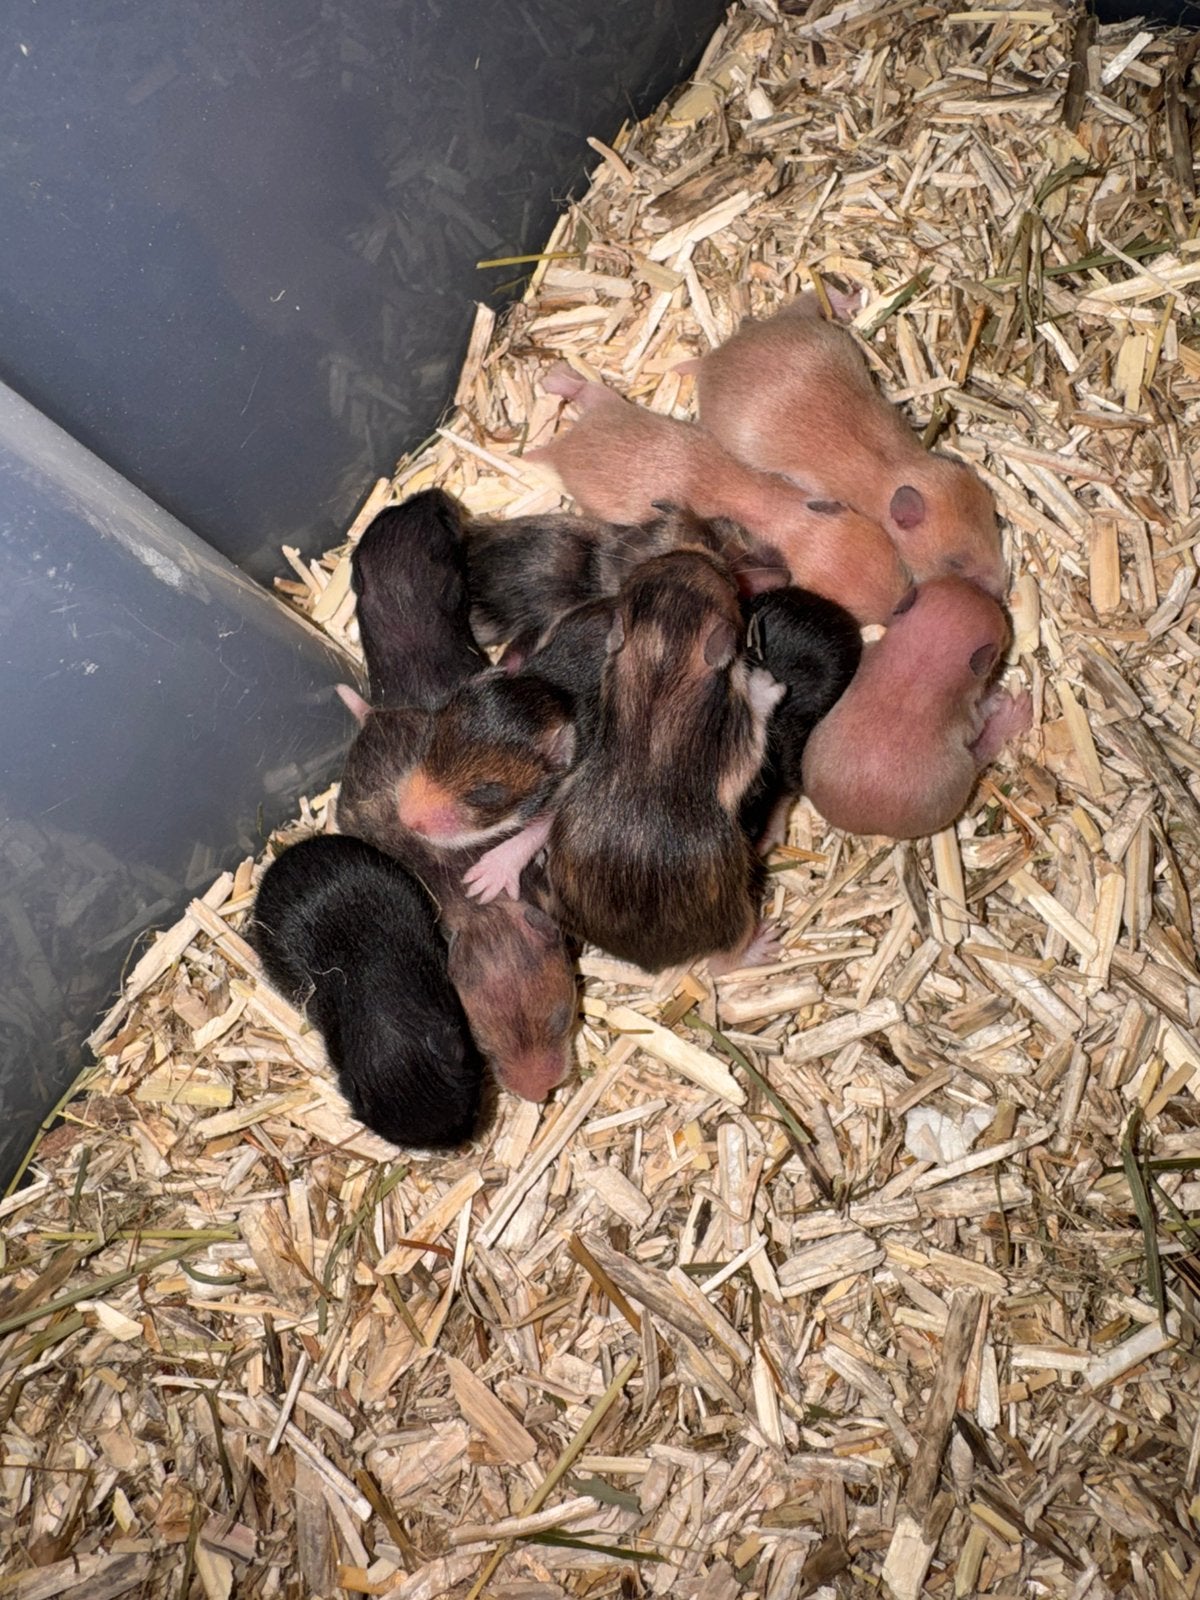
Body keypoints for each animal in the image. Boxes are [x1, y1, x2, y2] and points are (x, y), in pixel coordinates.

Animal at [531, 365, 910, 627]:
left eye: (899, 564)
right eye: (856, 612)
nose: (906, 605)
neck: (784, 514)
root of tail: (563, 448)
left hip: (609, 407)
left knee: (587, 391)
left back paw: (556, 380)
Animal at [546, 548, 785, 973]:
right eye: (723, 580)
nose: (695, 551)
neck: (660, 670)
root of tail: (649, 959)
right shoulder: (737, 743)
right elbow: (755, 728)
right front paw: (767, 684)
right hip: (735, 913)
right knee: (723, 960)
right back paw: (762, 944)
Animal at [799, 577, 1032, 839]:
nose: (976, 584)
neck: (921, 657)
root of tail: (864, 825)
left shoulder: (868, 652)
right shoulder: (965, 714)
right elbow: (980, 718)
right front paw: (995, 699)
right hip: (962, 773)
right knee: (982, 754)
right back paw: (1012, 716)